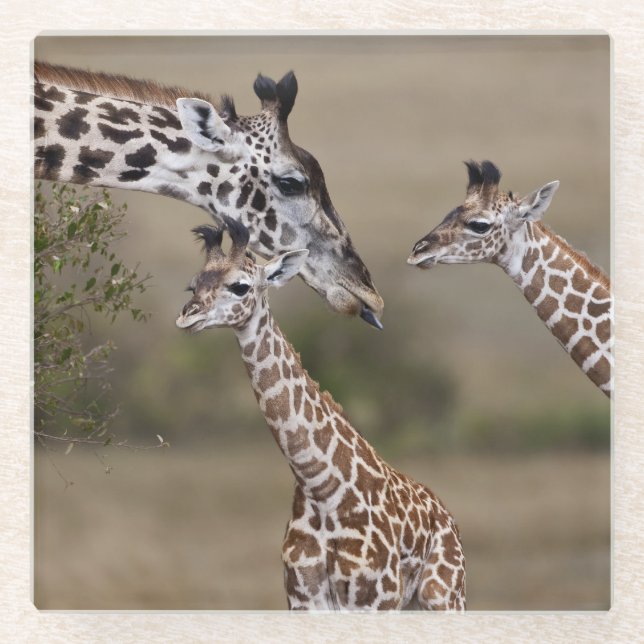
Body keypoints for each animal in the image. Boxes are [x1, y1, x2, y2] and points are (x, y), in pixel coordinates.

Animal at [176, 217, 466, 611]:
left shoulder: (374, 600)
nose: (187, 316)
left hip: (444, 595)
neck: (321, 486)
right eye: (194, 284)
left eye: (240, 286)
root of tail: (445, 513)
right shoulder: (303, 598)